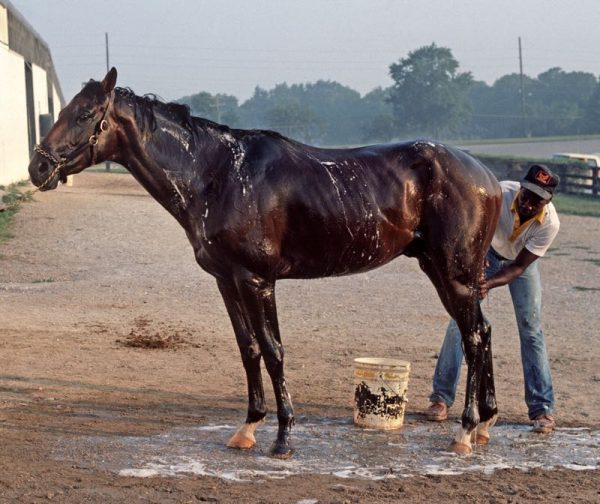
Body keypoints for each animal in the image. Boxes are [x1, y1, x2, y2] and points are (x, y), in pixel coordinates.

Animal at [30, 67, 504, 456]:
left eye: (85, 114)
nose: (37, 167)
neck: (218, 174)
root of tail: (490, 178)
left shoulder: (257, 280)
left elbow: (274, 351)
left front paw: (283, 437)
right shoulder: (227, 280)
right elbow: (249, 349)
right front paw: (248, 428)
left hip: (454, 275)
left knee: (473, 338)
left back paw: (465, 432)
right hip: (444, 272)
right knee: (483, 332)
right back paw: (485, 424)